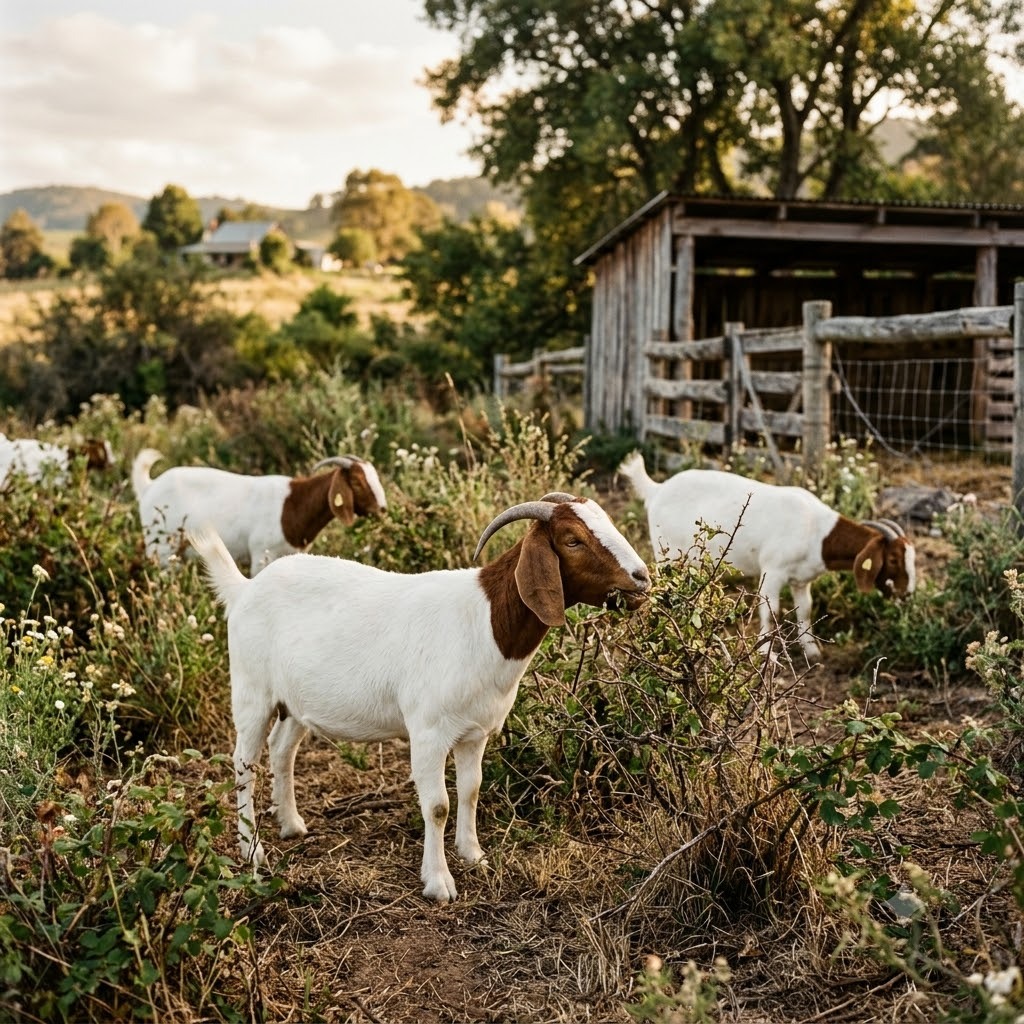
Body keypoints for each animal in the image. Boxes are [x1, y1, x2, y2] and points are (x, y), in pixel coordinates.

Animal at [132, 449, 386, 574]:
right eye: (357, 482)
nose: (382, 509)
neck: (293, 505)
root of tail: (148, 487)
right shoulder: (262, 555)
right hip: (162, 548)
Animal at [188, 492, 651, 901]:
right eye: (572, 539)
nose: (642, 577)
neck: (482, 622)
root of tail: (244, 589)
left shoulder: (475, 732)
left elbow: (471, 789)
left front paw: (473, 855)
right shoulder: (428, 732)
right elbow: (437, 805)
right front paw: (439, 882)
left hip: (296, 704)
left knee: (281, 749)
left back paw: (291, 823)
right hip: (252, 690)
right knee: (244, 764)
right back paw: (252, 852)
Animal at [617, 452, 915, 661]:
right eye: (892, 560)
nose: (907, 594)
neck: (817, 532)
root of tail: (656, 489)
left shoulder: (801, 580)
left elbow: (805, 609)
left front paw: (812, 650)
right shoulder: (773, 570)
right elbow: (770, 610)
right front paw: (767, 653)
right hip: (666, 553)